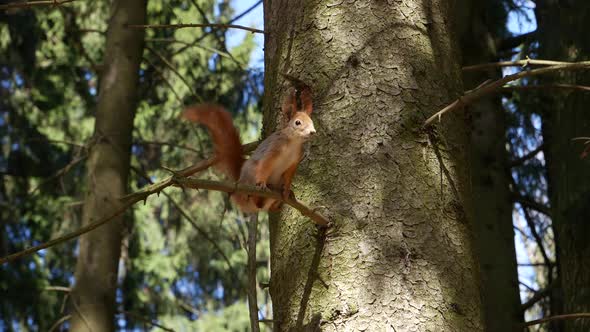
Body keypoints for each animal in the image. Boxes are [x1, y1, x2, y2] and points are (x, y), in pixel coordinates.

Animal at [183, 85, 316, 210]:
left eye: (312, 121)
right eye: (297, 122)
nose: (313, 132)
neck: (293, 143)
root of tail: (239, 181)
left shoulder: (295, 160)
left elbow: (289, 176)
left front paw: (287, 191)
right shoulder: (273, 148)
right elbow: (265, 165)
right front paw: (262, 183)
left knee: (266, 207)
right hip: (251, 174)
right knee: (253, 199)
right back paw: (255, 194)